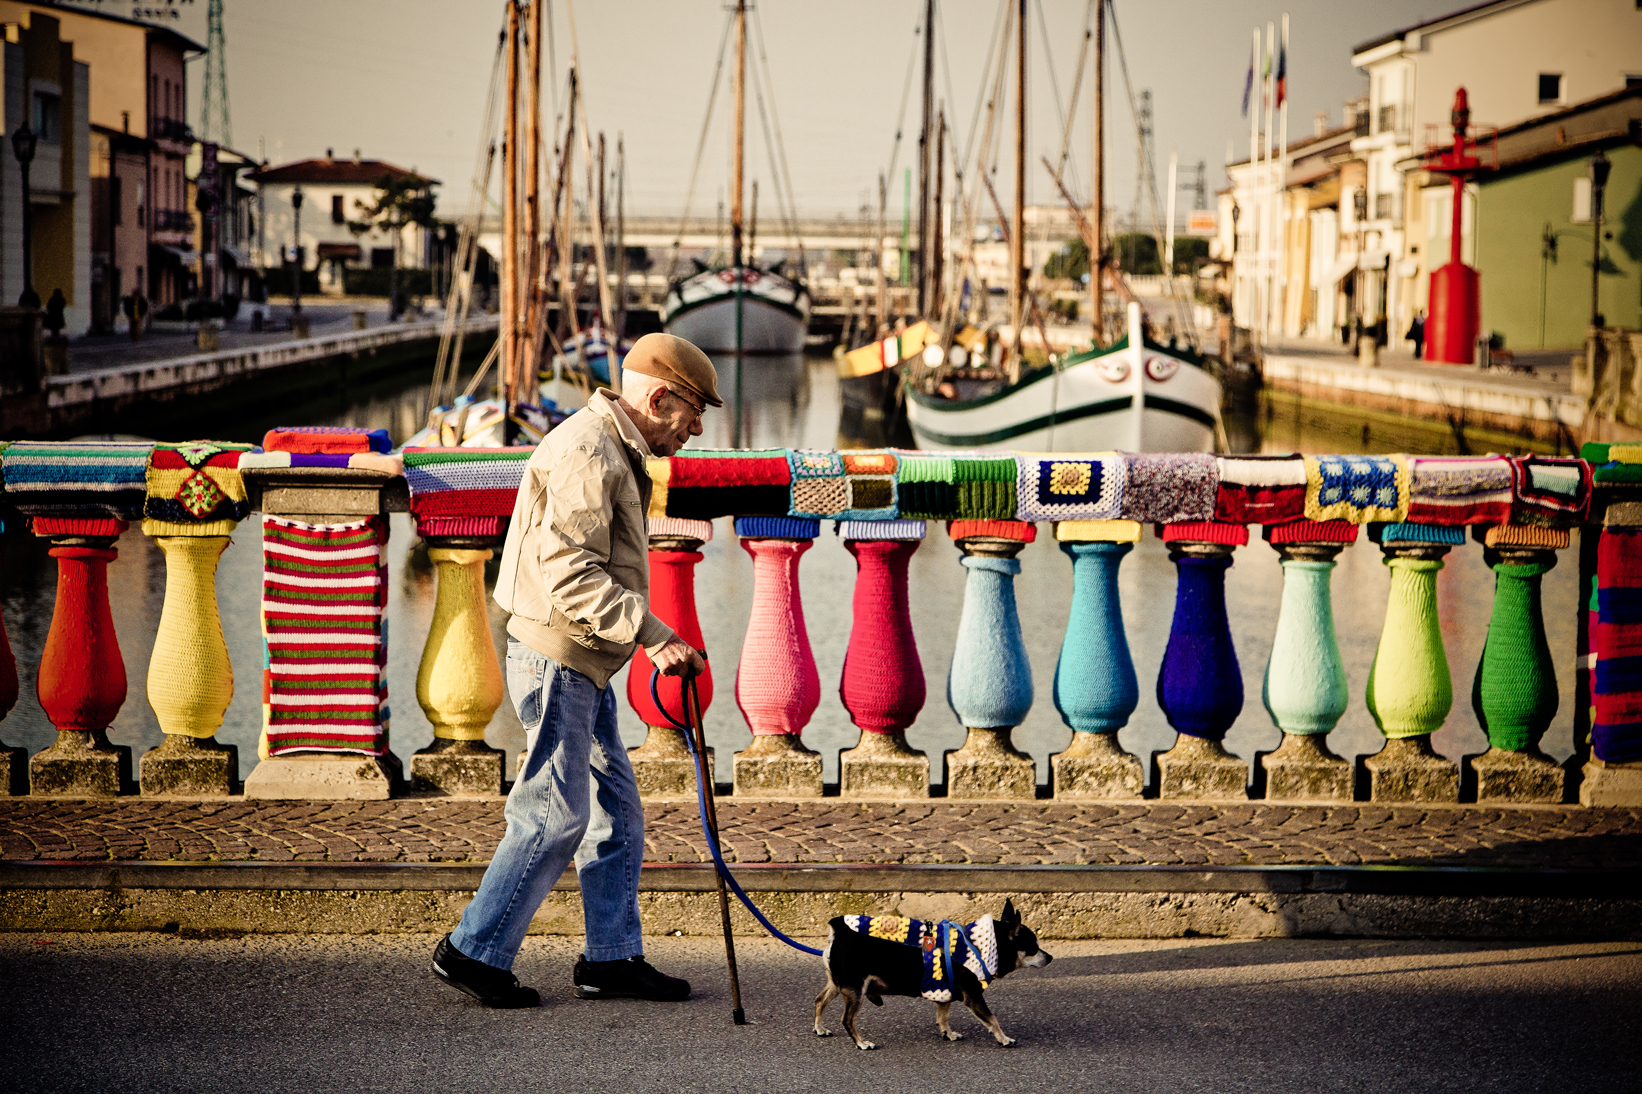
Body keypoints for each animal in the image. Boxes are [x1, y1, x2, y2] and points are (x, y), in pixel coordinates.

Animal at [811, 893, 1050, 1051]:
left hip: (837, 984)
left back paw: (820, 1028)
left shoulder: (944, 992)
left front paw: (948, 1033)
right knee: (847, 1019)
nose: (1049, 957)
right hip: (854, 990)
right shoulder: (973, 996)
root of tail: (839, 929)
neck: (980, 945)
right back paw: (861, 1042)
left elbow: (943, 1017)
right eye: (1033, 948)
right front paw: (1004, 1039)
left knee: (819, 1000)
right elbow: (992, 1018)